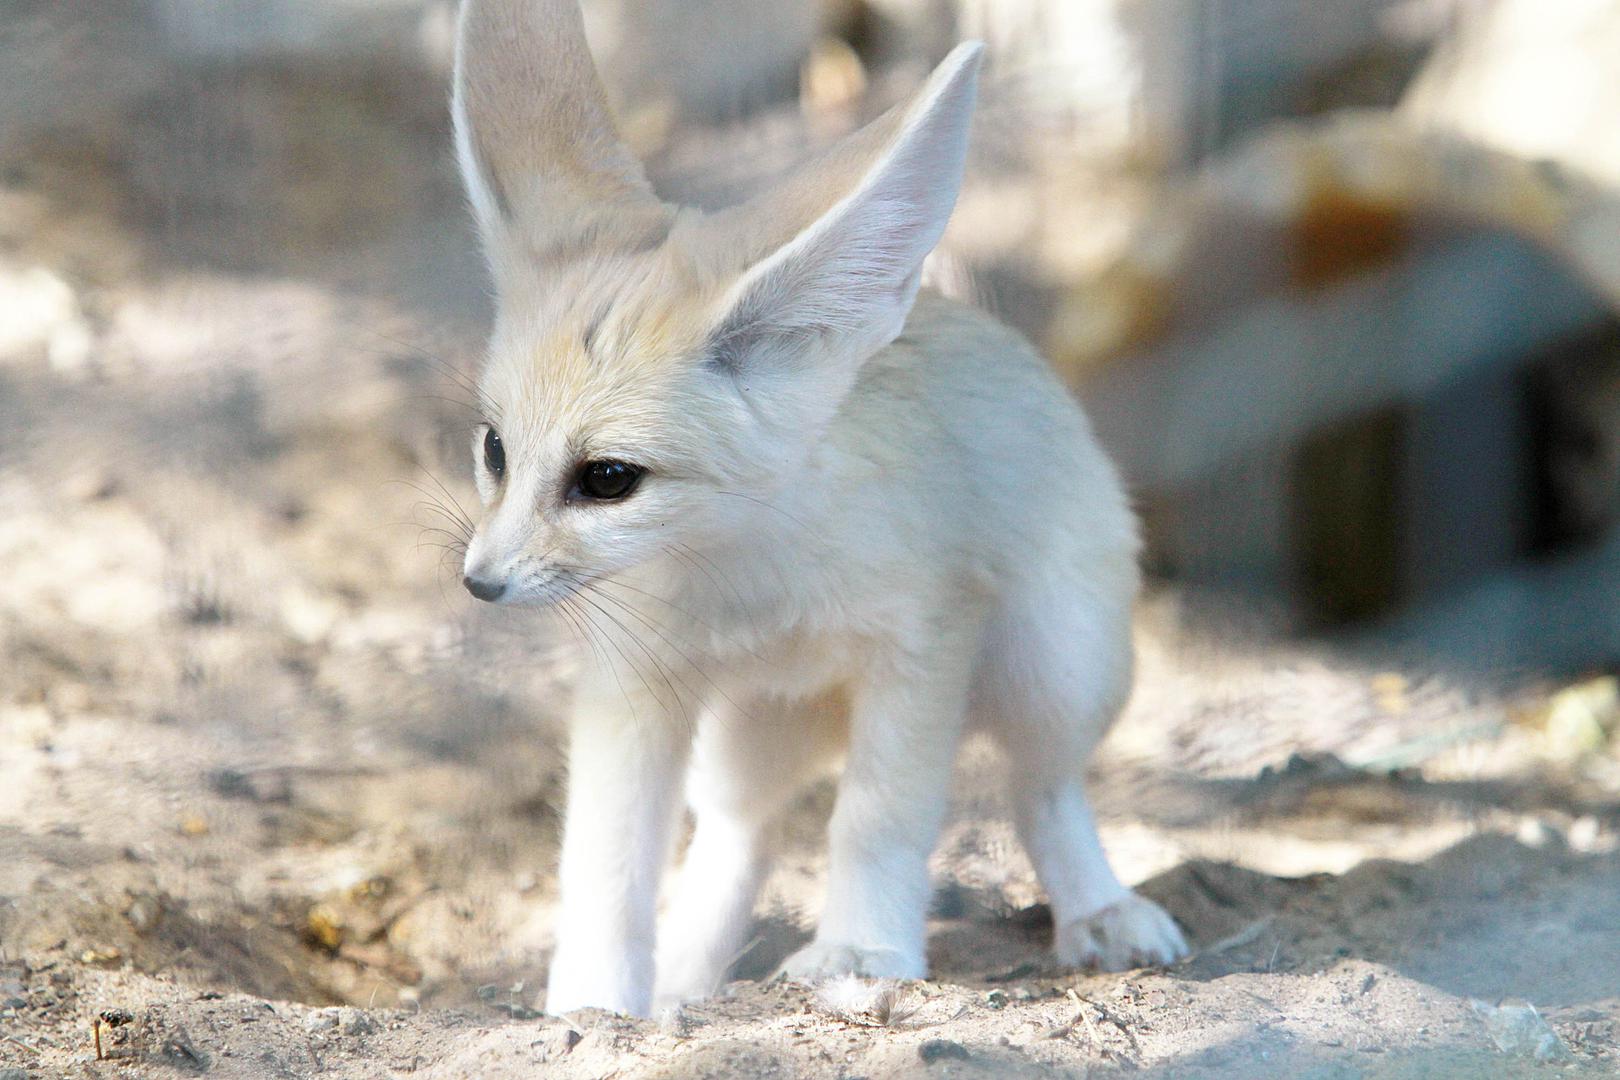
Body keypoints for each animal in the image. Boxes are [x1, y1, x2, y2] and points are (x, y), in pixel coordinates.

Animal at [450, 0, 1185, 1016]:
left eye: (607, 478)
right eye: (494, 450)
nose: (480, 583)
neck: (749, 571)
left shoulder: (924, 643)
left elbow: (876, 818)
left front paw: (862, 951)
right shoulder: (634, 680)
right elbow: (607, 863)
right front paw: (594, 1007)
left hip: (1056, 666)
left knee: (1042, 789)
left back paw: (1101, 912)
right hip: (739, 735)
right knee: (740, 833)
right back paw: (683, 989)